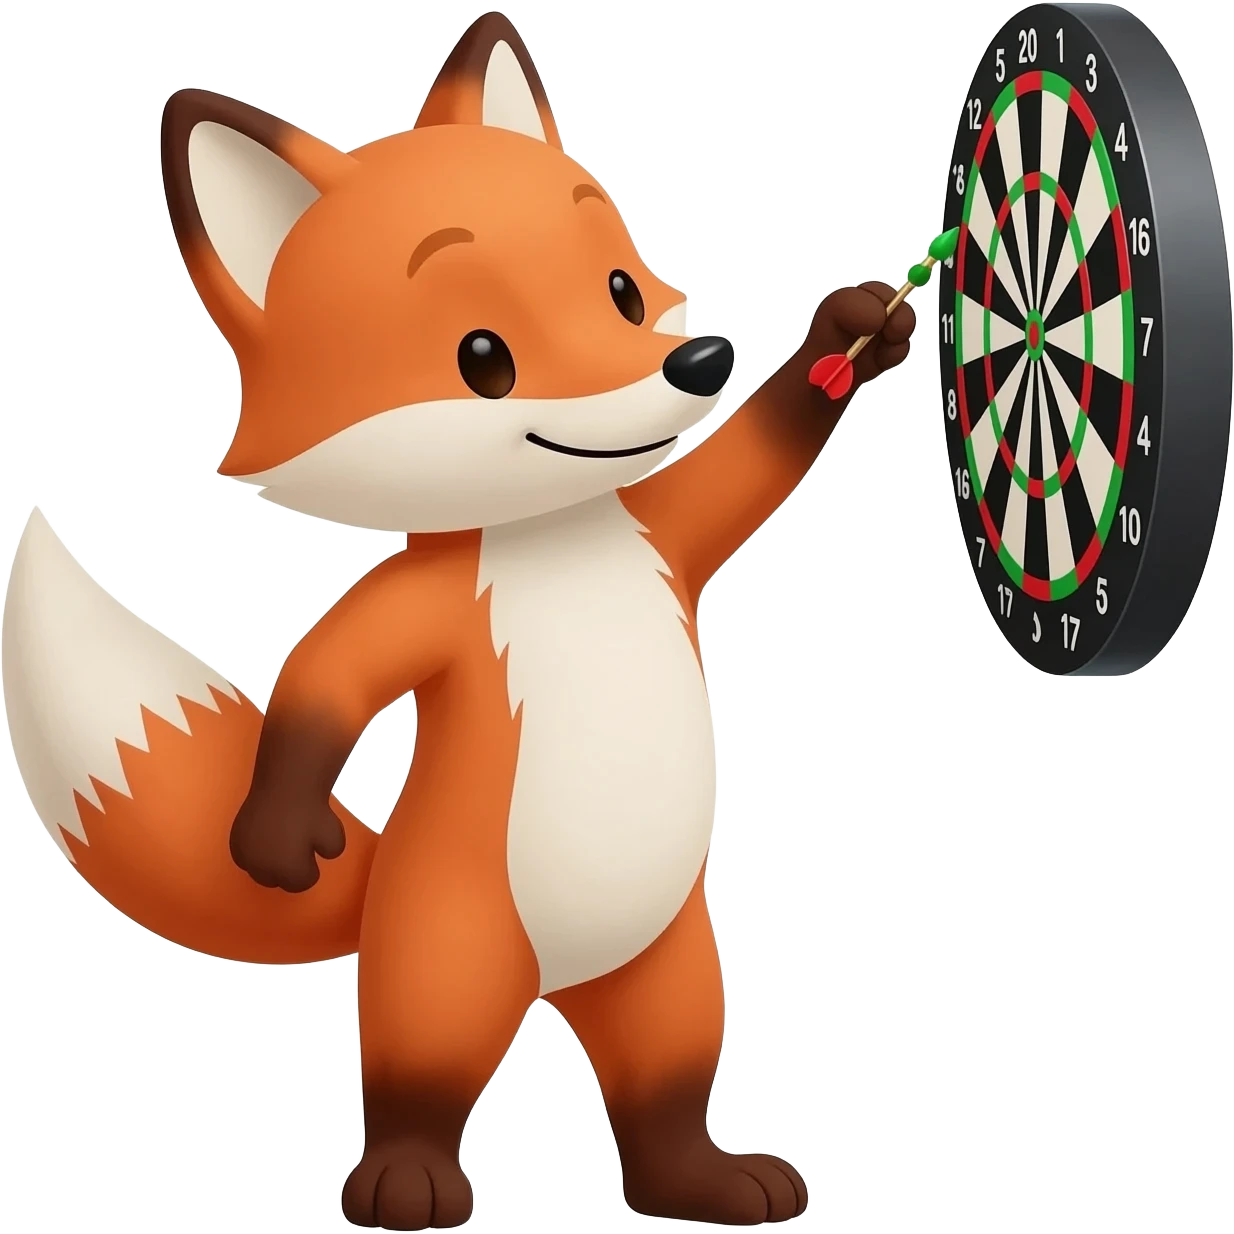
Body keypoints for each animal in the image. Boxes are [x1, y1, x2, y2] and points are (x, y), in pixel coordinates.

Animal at [2, 12, 915, 1231]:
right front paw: (275, 837)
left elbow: (751, 465)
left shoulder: (668, 531)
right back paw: (407, 1179)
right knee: (419, 1074)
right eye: (483, 356)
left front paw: (854, 333)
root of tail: (560, 977)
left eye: (621, 288)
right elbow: (323, 677)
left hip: (674, 964)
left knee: (664, 1086)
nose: (698, 359)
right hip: (447, 950)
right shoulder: (417, 603)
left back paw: (705, 1178)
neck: (550, 534)